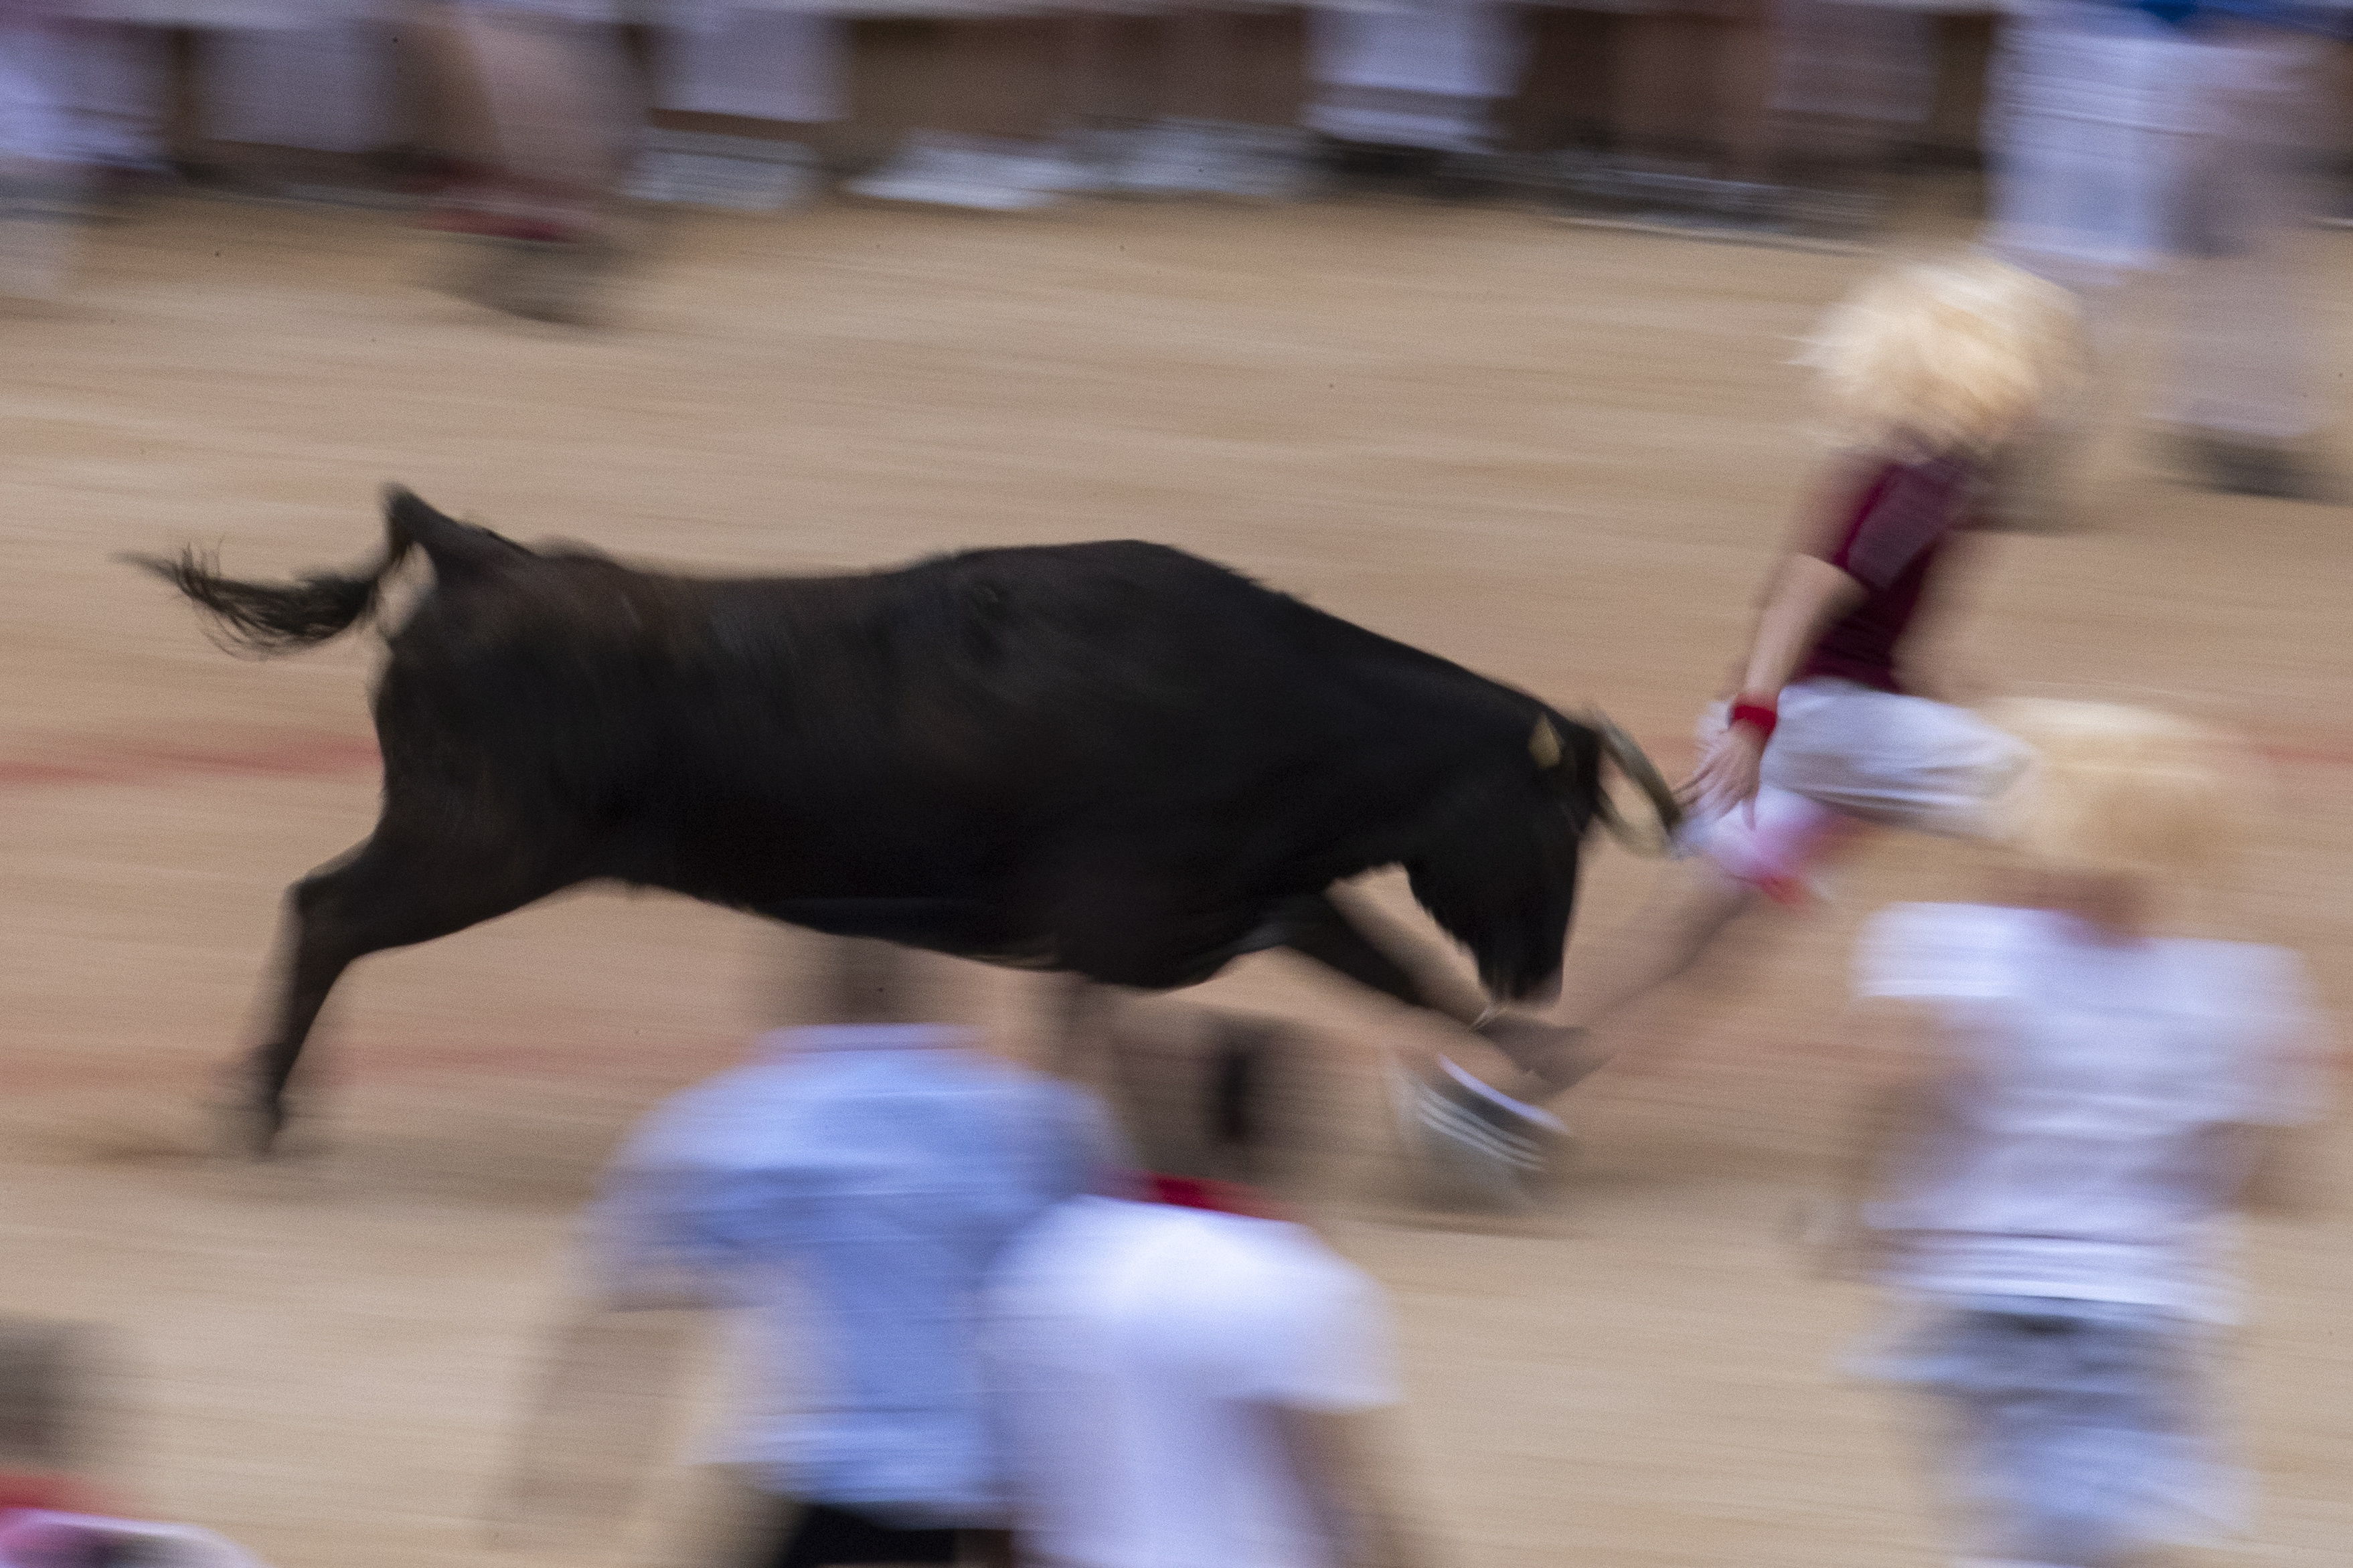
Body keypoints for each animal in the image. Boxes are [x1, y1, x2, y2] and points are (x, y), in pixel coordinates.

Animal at [129, 484, 1675, 1147]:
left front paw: (1527, 1069)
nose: (1540, 972)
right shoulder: (1127, 921)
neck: (1277, 703)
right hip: (473, 842)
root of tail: (475, 551)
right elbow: (1105, 1040)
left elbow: (1386, 969)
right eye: (1555, 828)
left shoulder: (1239, 901)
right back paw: (259, 1109)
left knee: (323, 910)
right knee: (327, 911)